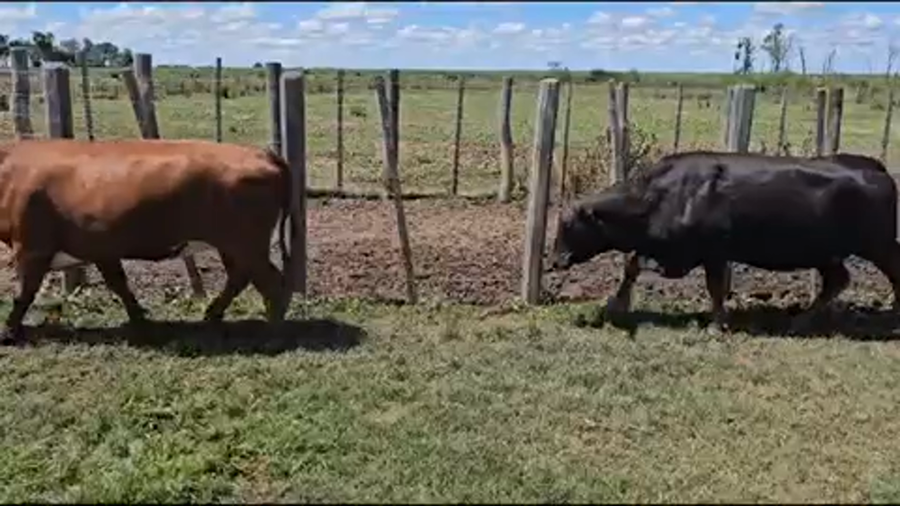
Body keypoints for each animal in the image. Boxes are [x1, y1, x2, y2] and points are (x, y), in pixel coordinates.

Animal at [0, 138, 295, 344]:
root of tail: (261, 152)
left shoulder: (31, 248)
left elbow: (23, 292)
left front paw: (8, 331)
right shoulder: (101, 248)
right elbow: (119, 284)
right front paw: (140, 320)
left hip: (246, 243)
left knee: (271, 282)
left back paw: (273, 333)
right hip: (234, 245)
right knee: (241, 278)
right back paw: (212, 315)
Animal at [547, 150, 900, 333]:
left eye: (567, 224)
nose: (555, 261)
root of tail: (874, 167)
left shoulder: (713, 252)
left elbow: (715, 287)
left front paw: (718, 323)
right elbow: (631, 265)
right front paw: (616, 304)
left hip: (878, 244)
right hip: (827, 253)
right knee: (837, 280)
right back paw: (800, 320)